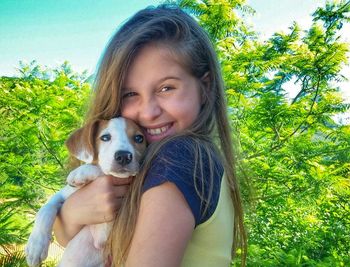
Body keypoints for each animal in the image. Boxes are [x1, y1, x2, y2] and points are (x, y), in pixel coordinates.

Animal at [25, 118, 146, 267]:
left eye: (139, 138)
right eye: (105, 137)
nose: (123, 156)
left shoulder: (103, 234)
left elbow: (102, 171)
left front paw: (81, 172)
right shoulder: (62, 194)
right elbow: (45, 210)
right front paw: (35, 246)